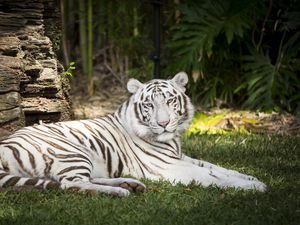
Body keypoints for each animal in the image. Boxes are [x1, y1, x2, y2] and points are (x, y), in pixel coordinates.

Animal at [0, 72, 266, 195]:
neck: (173, 142)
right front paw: (252, 187)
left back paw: (131, 184)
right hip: (72, 152)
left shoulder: (181, 158)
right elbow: (211, 176)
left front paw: (253, 178)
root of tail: (5, 145)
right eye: (149, 105)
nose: (164, 123)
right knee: (71, 184)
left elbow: (218, 168)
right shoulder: (169, 166)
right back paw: (120, 192)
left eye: (170, 100)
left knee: (85, 179)